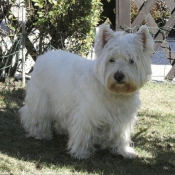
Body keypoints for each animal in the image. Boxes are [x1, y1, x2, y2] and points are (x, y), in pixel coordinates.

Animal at [19, 23, 154, 159]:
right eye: (111, 59)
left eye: (131, 60)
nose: (118, 76)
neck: (115, 94)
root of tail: (43, 56)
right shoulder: (86, 115)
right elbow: (83, 133)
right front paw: (81, 152)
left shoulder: (123, 119)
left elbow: (122, 135)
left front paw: (125, 151)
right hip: (40, 99)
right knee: (35, 116)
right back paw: (40, 133)